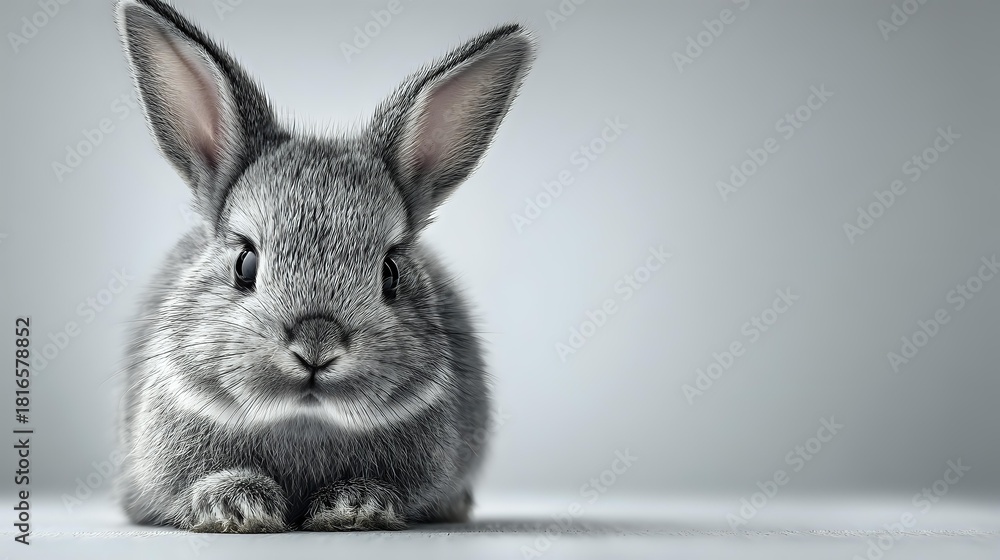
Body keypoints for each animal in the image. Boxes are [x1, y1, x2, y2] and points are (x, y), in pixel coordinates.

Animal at [114, 0, 533, 533]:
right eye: (245, 263)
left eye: (391, 272)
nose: (317, 343)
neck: (304, 420)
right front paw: (237, 505)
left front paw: (356, 506)